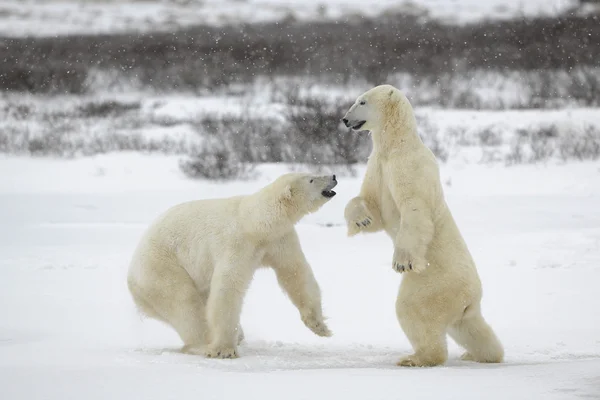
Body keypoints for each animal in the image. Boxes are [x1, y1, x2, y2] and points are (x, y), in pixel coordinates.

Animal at [125, 173, 338, 358]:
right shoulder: (236, 243)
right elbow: (227, 288)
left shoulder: (279, 240)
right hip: (160, 270)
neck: (255, 223)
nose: (334, 176)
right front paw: (224, 350)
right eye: (311, 179)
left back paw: (237, 335)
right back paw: (203, 345)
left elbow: (295, 273)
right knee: (185, 303)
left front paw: (320, 327)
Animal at [342, 86, 502, 368]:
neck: (396, 145)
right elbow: (372, 204)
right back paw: (482, 354)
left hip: (433, 284)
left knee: (413, 310)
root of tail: (471, 297)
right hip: (459, 304)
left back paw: (416, 358)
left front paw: (401, 261)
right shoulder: (378, 165)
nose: (345, 119)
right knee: (470, 327)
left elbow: (415, 210)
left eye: (361, 101)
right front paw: (361, 219)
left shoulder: (409, 167)